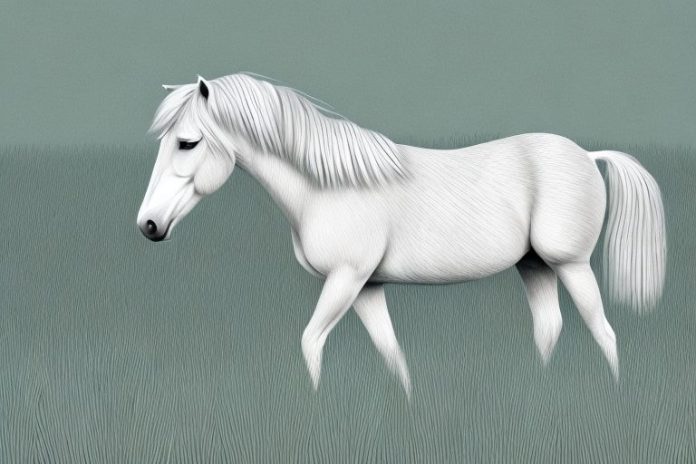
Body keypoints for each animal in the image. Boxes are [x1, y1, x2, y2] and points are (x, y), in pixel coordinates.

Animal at [137, 73, 666, 398]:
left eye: (188, 143)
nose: (148, 225)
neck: (331, 186)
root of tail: (588, 155)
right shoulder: (367, 287)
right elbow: (392, 355)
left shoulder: (346, 279)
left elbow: (311, 342)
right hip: (533, 265)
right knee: (549, 327)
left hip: (570, 264)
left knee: (603, 331)